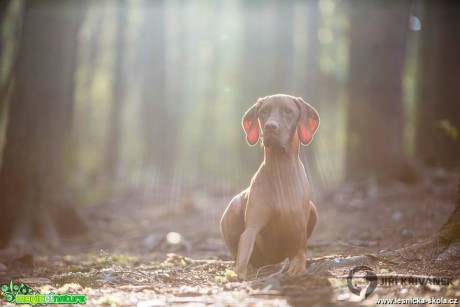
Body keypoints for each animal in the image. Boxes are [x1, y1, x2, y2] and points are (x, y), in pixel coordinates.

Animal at [221, 94, 318, 276]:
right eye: (263, 111)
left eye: (288, 111)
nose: (270, 127)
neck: (280, 170)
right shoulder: (251, 228)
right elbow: (244, 251)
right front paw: (238, 273)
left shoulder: (299, 230)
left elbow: (300, 252)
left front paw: (298, 266)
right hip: (234, 205)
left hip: (313, 209)